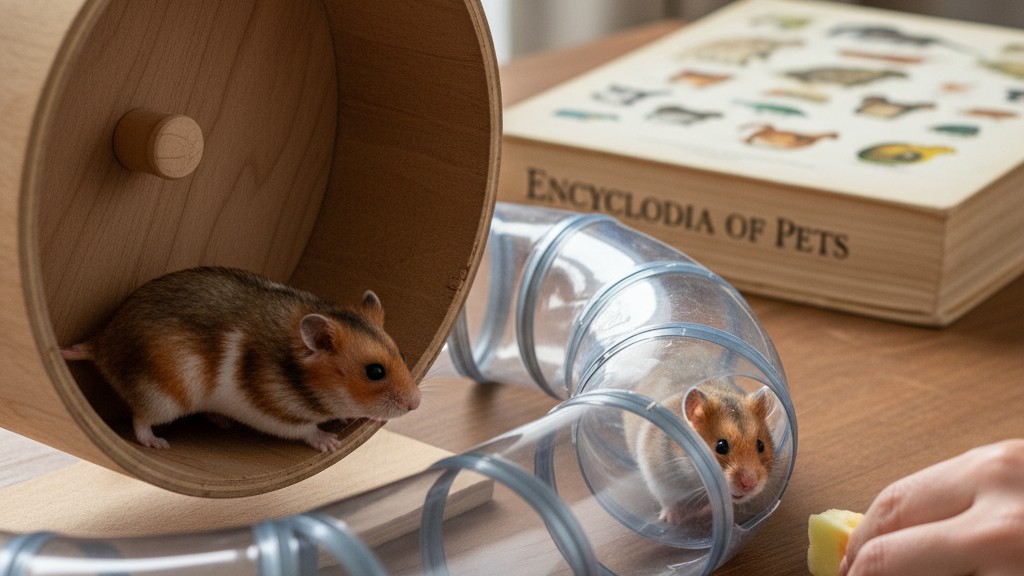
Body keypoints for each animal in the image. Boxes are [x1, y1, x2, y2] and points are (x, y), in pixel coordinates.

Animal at [61, 266, 420, 452]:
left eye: (401, 354)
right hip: (164, 397)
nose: (416, 404)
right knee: (140, 420)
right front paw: (330, 443)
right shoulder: (273, 414)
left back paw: (221, 421)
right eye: (375, 371)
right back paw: (157, 444)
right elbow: (305, 430)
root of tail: (100, 342)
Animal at [624, 359, 775, 525]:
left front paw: (707, 511)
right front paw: (672, 520)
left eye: (761, 445)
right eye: (721, 446)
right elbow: (667, 501)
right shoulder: (656, 477)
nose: (750, 485)